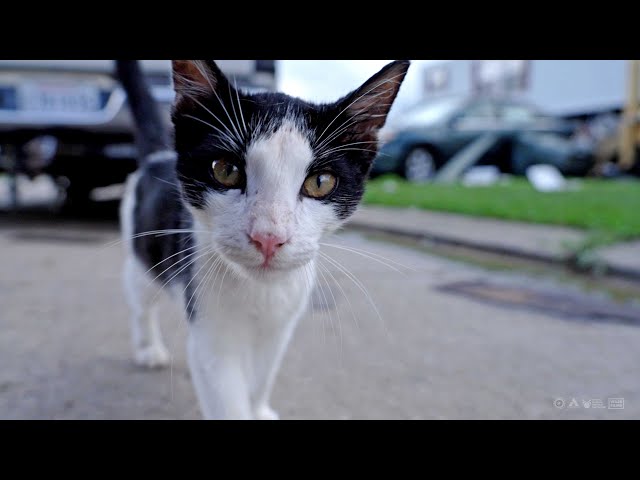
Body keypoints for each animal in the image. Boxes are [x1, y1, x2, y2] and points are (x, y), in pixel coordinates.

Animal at [115, 61, 410, 420]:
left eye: (321, 182)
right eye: (225, 170)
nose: (268, 236)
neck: (260, 290)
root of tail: (157, 157)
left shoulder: (281, 327)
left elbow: (263, 373)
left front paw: (258, 408)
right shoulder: (210, 328)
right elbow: (227, 394)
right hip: (142, 253)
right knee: (140, 299)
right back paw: (148, 348)